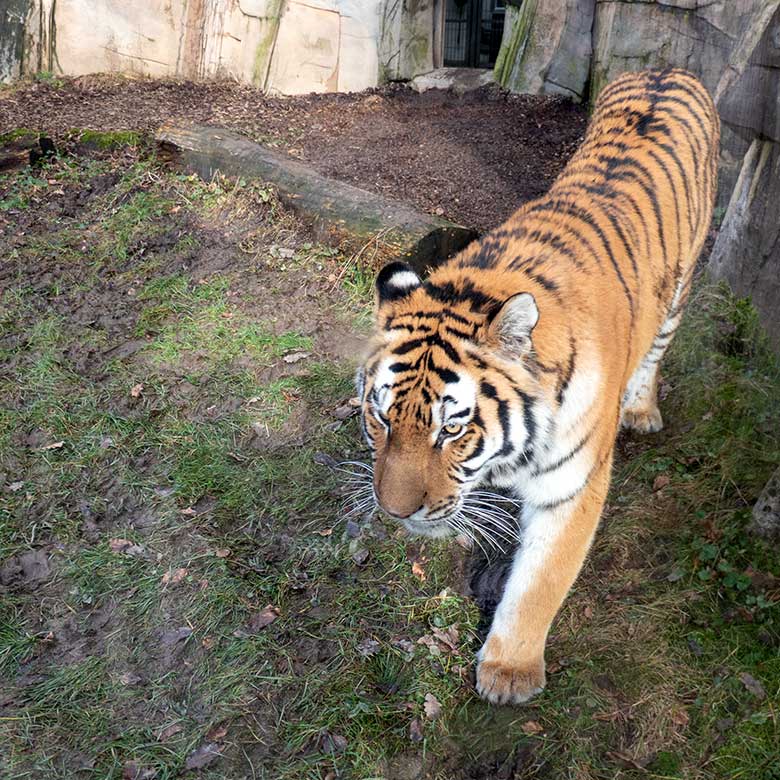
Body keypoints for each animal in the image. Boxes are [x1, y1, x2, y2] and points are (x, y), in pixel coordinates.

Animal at [354, 67, 720, 704]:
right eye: (380, 417)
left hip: (680, 288)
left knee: (657, 350)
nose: (395, 514)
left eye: (452, 429)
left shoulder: (572, 488)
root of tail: (666, 68)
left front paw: (509, 672)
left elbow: (540, 582)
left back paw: (642, 409)